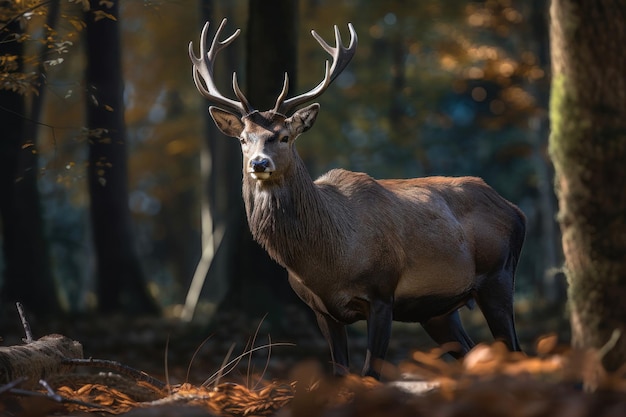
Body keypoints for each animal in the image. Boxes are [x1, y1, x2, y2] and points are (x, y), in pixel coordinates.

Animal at [188, 18, 524, 376]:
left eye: (284, 136)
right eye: (242, 139)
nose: (259, 163)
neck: (327, 262)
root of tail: (516, 211)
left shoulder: (382, 294)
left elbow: (370, 374)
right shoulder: (321, 310)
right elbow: (340, 373)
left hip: (498, 276)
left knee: (515, 349)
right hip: (438, 310)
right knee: (473, 353)